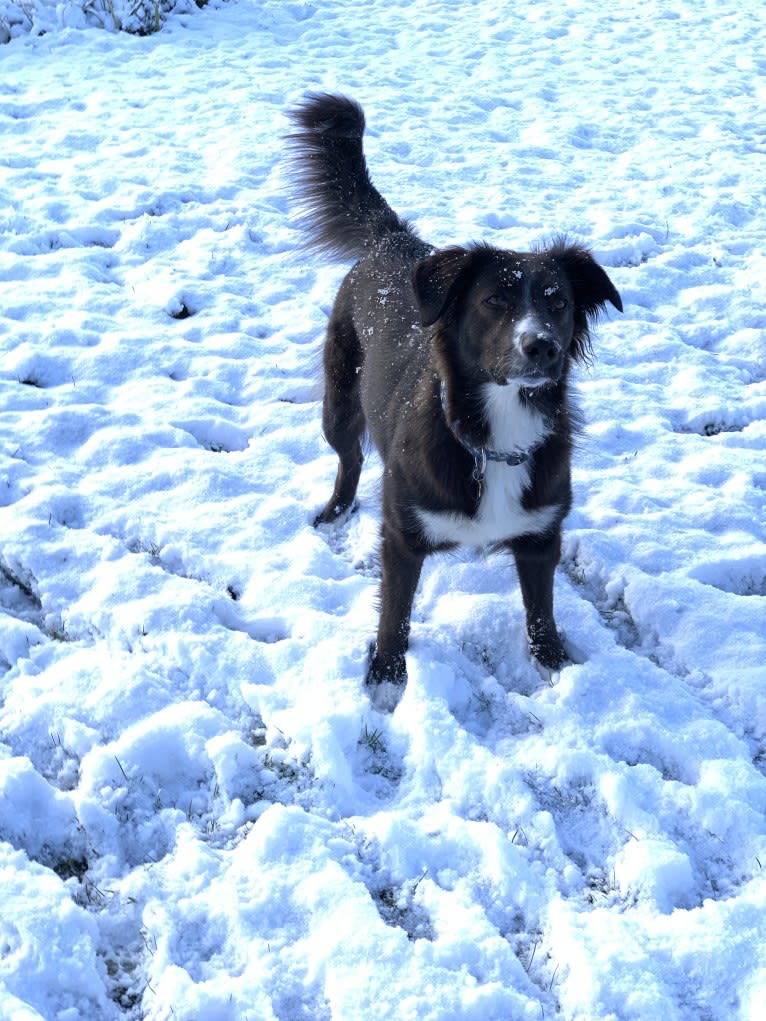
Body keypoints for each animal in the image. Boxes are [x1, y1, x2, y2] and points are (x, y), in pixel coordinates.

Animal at [288, 91, 625, 706]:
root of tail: (394, 239)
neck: (496, 434)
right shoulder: (402, 536)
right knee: (349, 460)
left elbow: (541, 614)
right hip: (339, 403)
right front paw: (386, 679)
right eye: (494, 301)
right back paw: (335, 511)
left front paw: (555, 668)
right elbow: (394, 614)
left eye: (559, 302)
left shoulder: (542, 536)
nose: (541, 346)